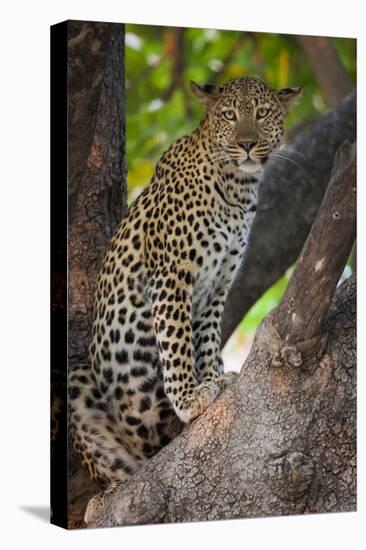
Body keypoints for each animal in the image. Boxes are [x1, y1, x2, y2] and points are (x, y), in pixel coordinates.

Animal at [68, 75, 300, 524]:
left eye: (261, 113)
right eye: (230, 115)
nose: (247, 143)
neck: (237, 188)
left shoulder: (218, 285)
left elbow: (205, 342)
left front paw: (214, 380)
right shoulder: (172, 276)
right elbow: (175, 343)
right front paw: (190, 400)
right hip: (81, 381)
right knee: (124, 464)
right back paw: (105, 497)